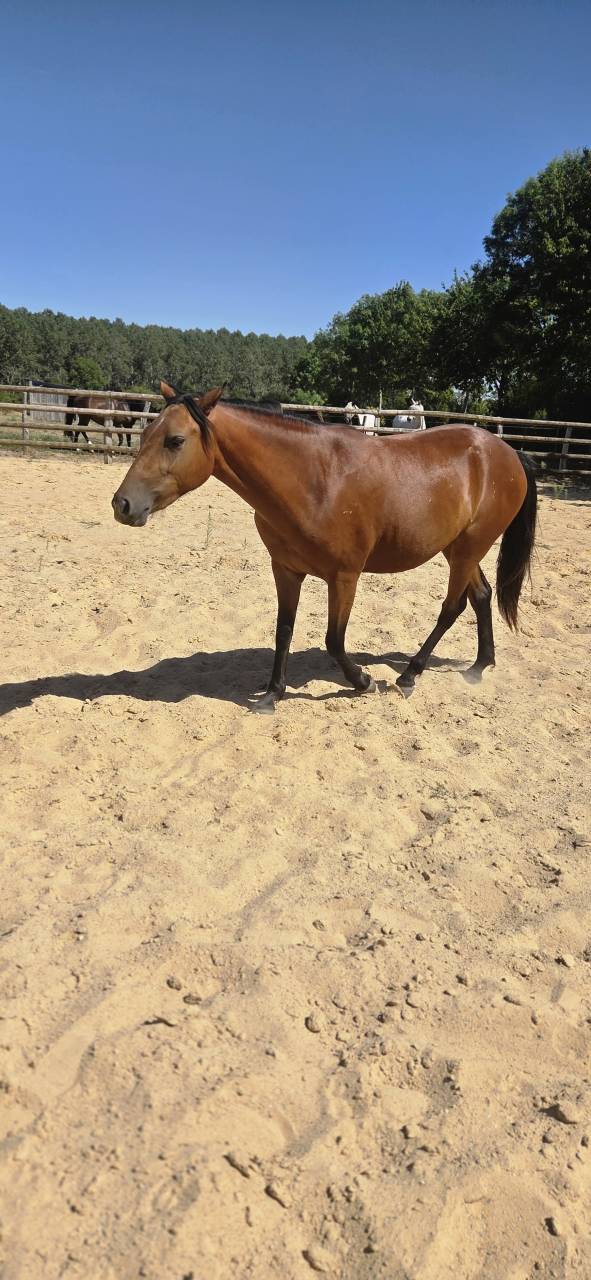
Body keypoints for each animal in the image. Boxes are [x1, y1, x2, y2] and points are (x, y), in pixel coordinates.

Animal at [112, 381, 537, 714]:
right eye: (145, 435)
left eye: (175, 441)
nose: (123, 504)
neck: (314, 480)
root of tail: (507, 451)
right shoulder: (285, 570)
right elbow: (283, 630)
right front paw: (271, 696)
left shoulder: (344, 576)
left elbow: (334, 640)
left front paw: (363, 682)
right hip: (460, 548)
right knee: (481, 596)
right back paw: (479, 666)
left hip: (468, 548)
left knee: (452, 608)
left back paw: (409, 675)